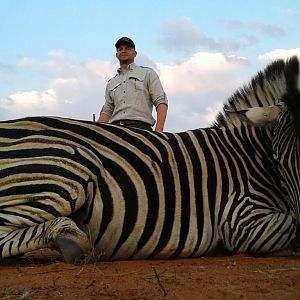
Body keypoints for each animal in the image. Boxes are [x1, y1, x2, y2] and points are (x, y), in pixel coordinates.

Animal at [0, 56, 298, 262]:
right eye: (278, 160)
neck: (246, 154)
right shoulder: (241, 218)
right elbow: (292, 228)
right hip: (69, 166)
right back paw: (70, 239)